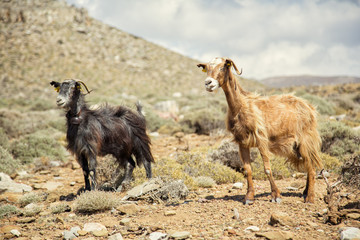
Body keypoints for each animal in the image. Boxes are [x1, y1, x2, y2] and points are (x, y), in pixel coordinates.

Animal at [198, 57, 322, 203]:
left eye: (223, 67)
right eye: (207, 68)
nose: (208, 83)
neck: (241, 106)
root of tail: (309, 107)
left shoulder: (261, 140)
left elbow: (267, 169)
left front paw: (276, 196)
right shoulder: (242, 142)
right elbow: (247, 169)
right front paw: (249, 197)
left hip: (306, 140)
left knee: (311, 166)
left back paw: (310, 197)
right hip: (296, 146)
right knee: (308, 165)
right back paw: (305, 192)